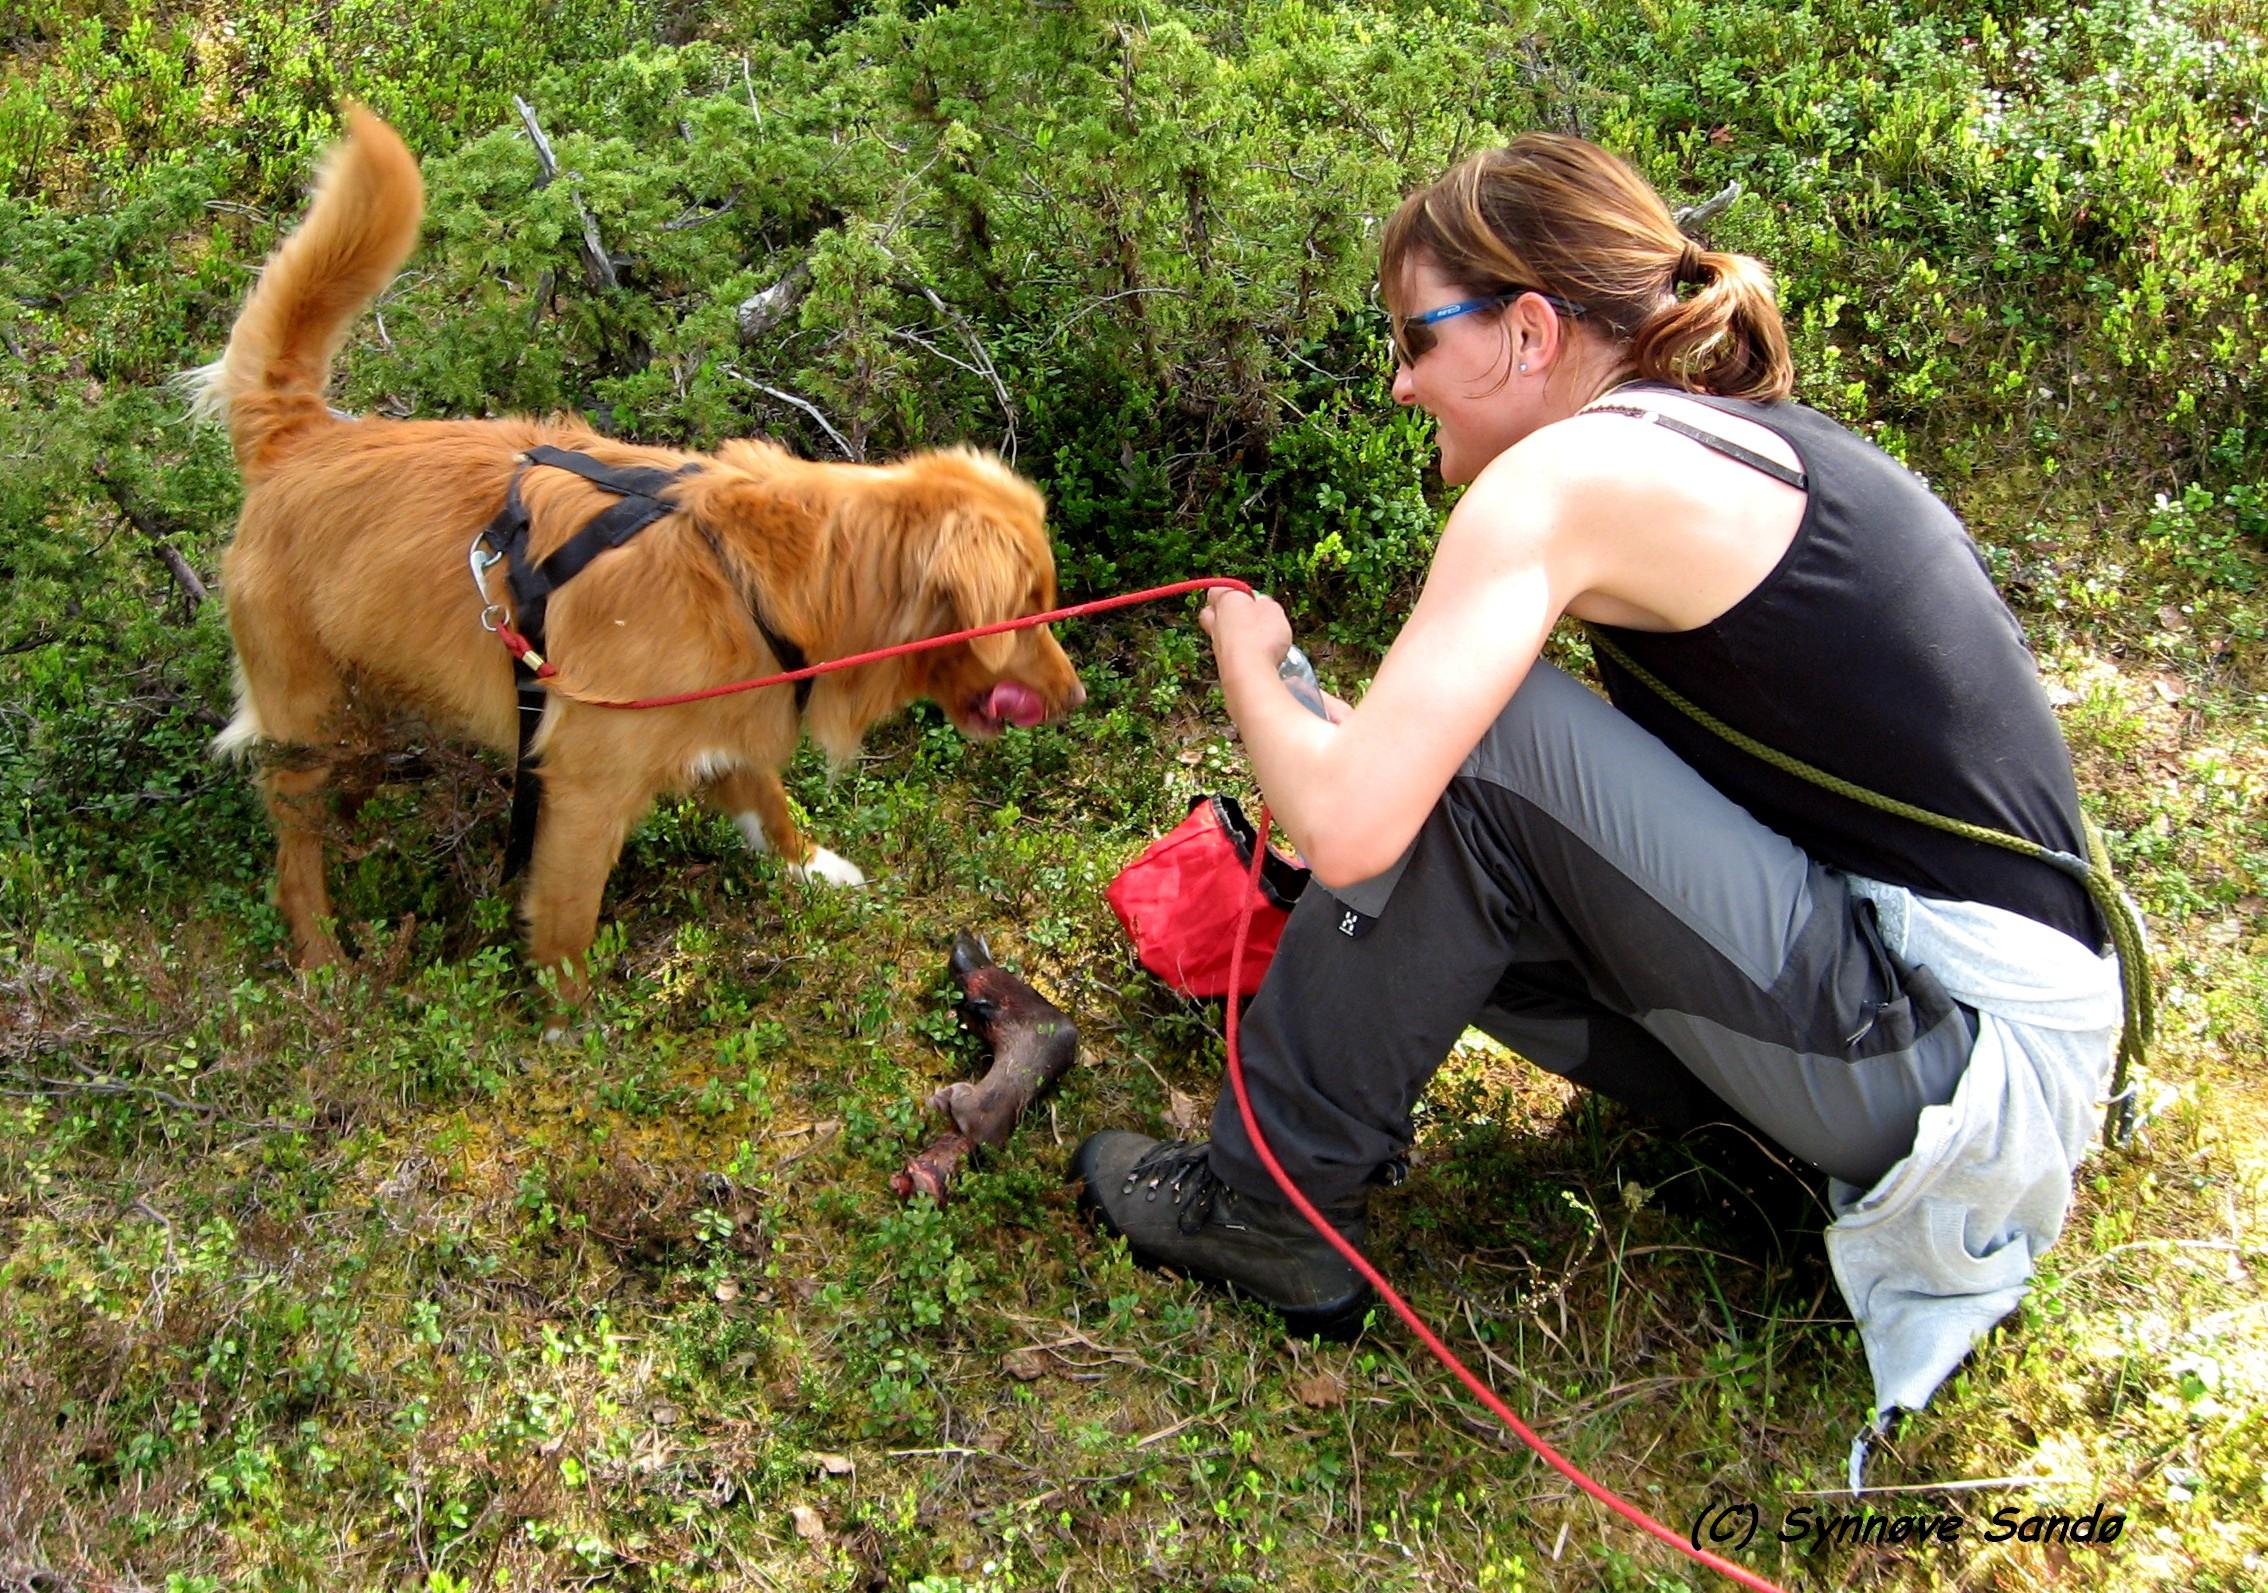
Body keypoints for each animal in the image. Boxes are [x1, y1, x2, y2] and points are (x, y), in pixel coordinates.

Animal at [190, 108, 1084, 1012]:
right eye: (1028, 609)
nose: (1077, 697)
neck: (772, 583)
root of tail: (300, 433)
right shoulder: (587, 784)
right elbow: (568, 921)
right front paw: (573, 1022)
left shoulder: (722, 733)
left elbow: (769, 804)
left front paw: (813, 866)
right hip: (305, 718)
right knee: (294, 851)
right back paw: (321, 957)